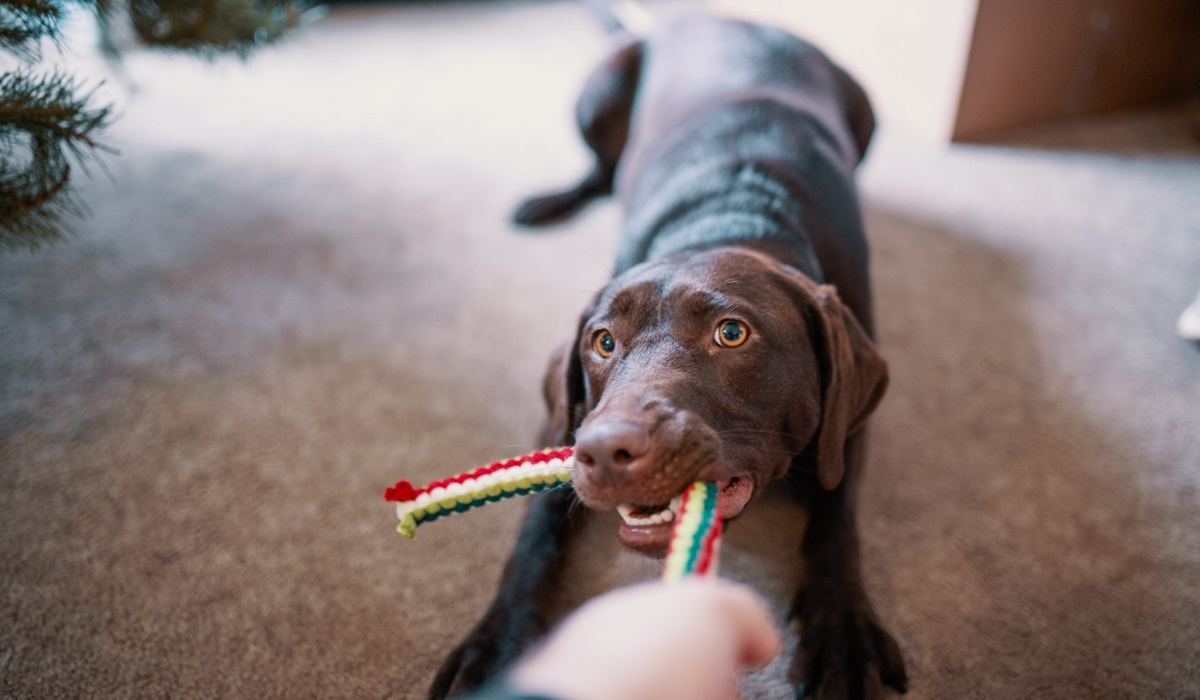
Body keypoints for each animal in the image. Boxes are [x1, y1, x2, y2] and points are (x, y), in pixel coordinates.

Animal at [432, 6, 907, 700]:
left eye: (732, 333)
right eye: (603, 342)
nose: (607, 450)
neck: (731, 218)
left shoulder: (847, 425)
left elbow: (836, 517)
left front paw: (841, 634)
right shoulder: (565, 421)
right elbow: (536, 527)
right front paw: (495, 645)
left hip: (867, 112)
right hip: (598, 90)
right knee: (600, 171)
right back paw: (548, 201)